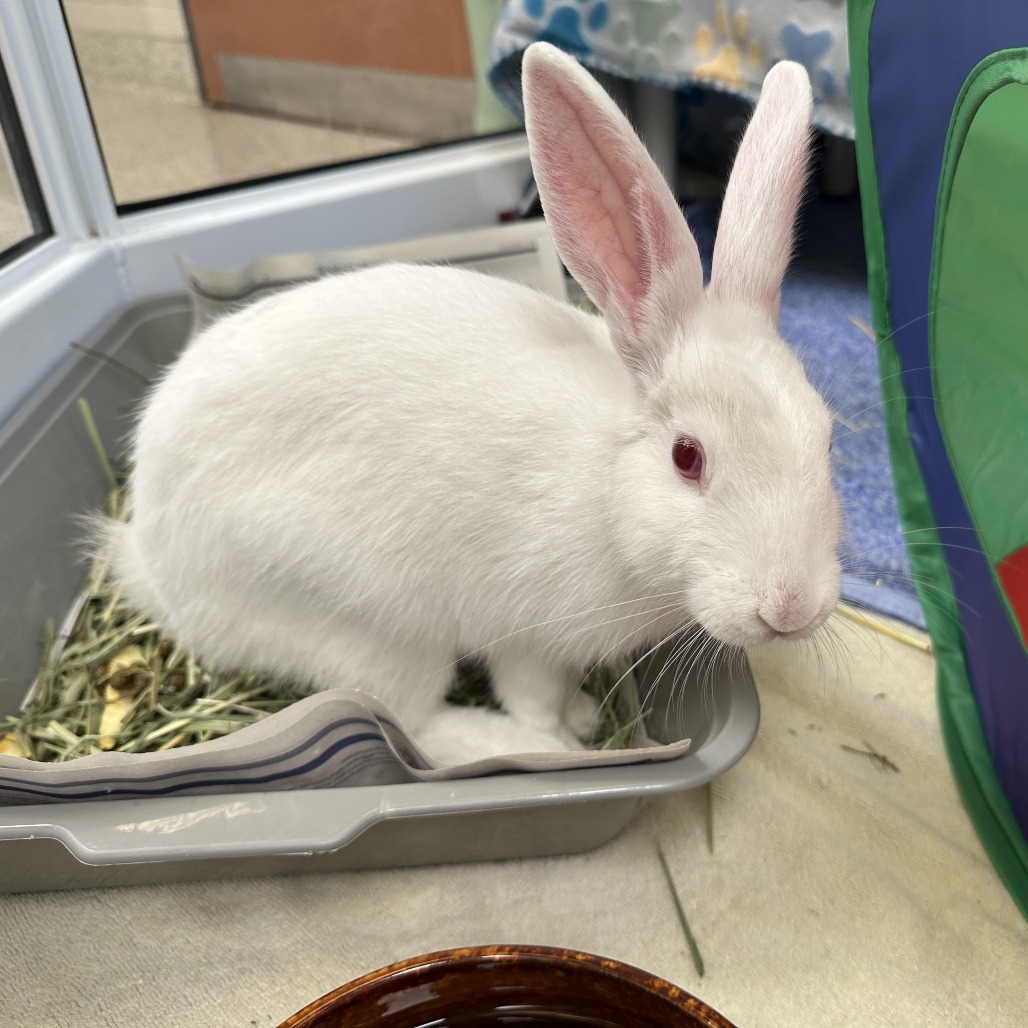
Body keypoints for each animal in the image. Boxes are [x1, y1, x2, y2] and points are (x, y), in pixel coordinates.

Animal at [103, 43, 840, 765]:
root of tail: (158, 572)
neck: (606, 490)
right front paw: (560, 732)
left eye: (827, 436)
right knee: (409, 720)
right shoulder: (528, 634)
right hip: (369, 617)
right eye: (687, 458)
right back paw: (512, 746)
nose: (790, 609)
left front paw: (581, 715)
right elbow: (530, 694)